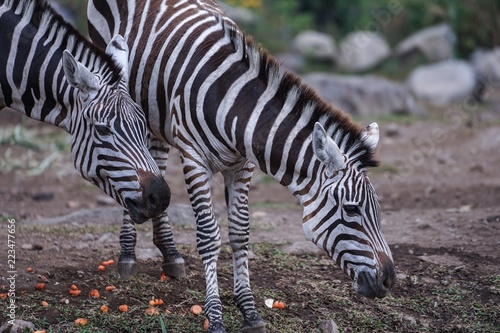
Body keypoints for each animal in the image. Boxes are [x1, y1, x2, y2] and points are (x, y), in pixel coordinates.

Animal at [89, 1, 394, 330]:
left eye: (377, 209)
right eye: (351, 210)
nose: (389, 280)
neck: (232, 107)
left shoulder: (243, 166)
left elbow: (240, 233)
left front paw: (249, 310)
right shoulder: (195, 161)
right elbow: (209, 236)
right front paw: (215, 316)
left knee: (154, 157)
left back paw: (170, 253)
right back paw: (127, 253)